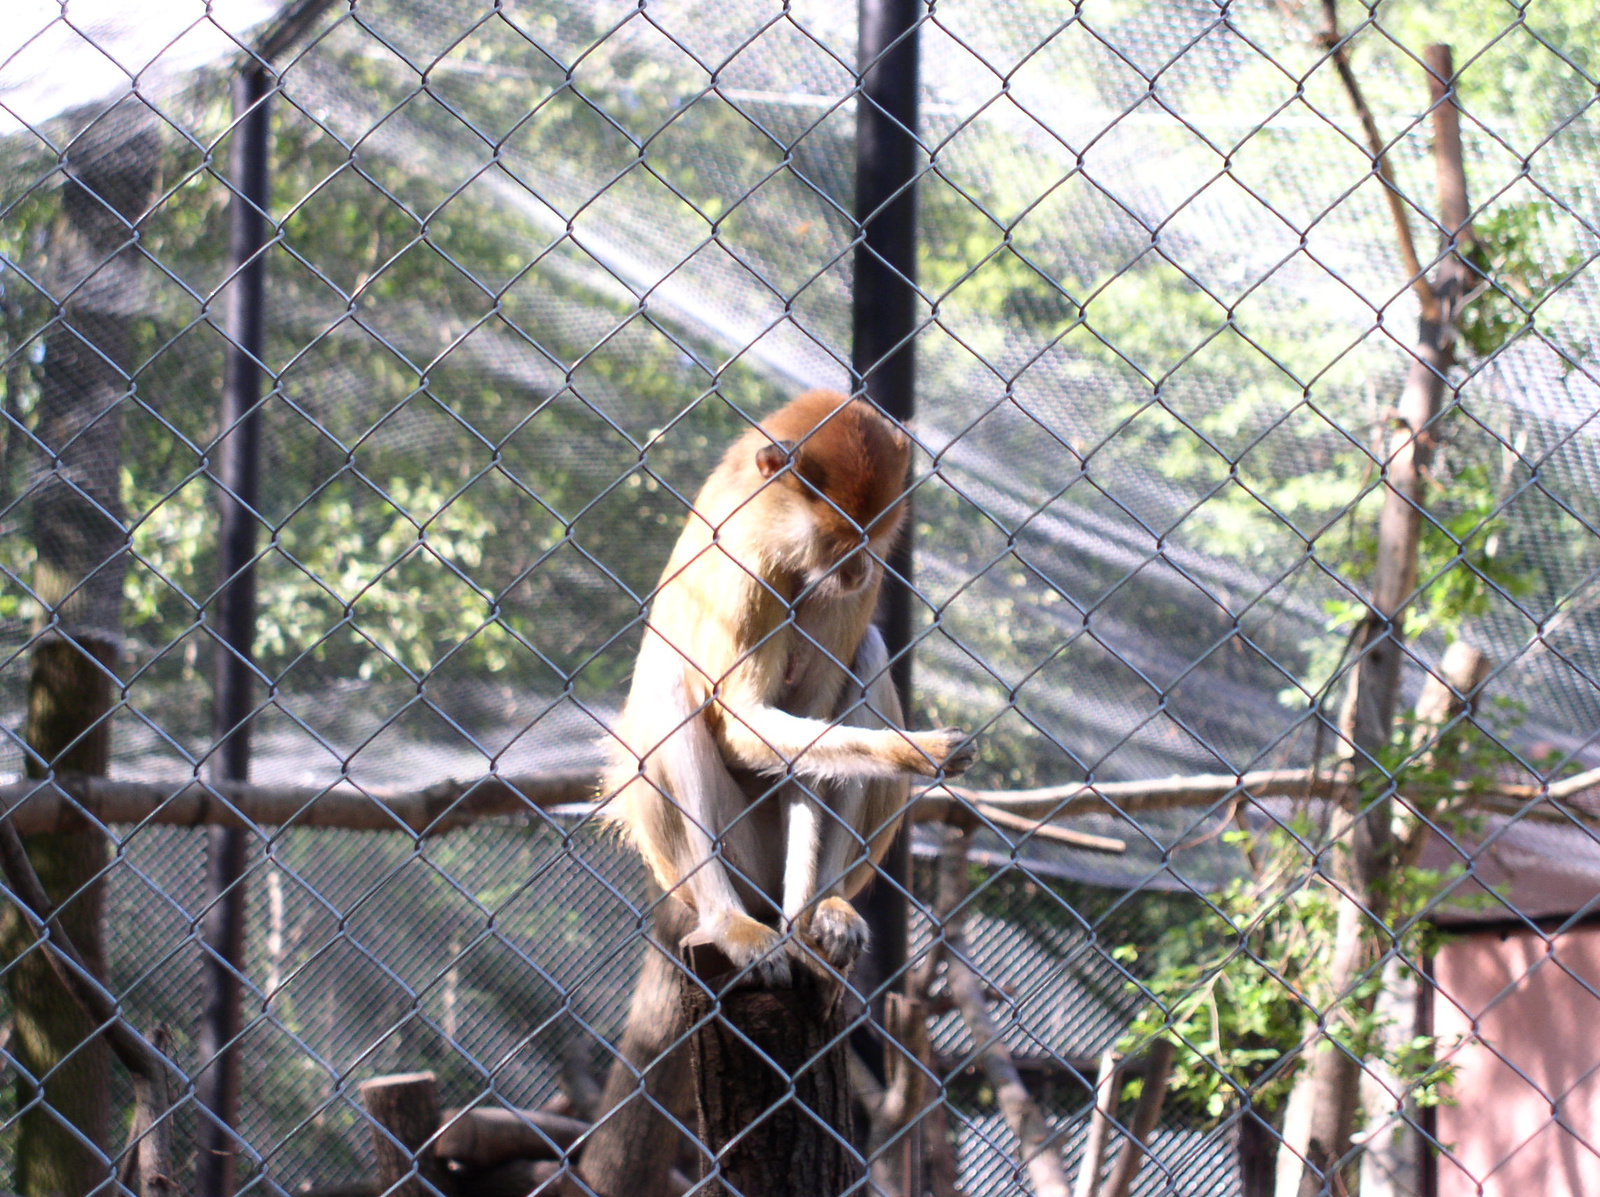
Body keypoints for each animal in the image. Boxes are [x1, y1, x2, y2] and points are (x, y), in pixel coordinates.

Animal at [601, 390, 972, 979]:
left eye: (872, 538)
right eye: (838, 540)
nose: (859, 572)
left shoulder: (841, 597)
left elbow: (810, 744)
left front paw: (802, 925)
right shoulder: (749, 570)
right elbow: (740, 724)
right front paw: (918, 751)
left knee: (868, 657)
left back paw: (827, 906)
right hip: (734, 858)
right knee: (668, 681)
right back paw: (731, 922)